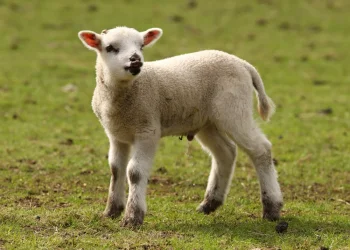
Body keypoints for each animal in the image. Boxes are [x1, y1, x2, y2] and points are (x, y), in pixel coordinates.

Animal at [78, 26, 284, 228]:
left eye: (141, 46)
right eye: (110, 48)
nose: (135, 60)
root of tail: (244, 64)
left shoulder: (148, 131)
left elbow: (134, 172)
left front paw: (132, 217)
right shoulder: (116, 134)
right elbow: (116, 169)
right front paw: (111, 211)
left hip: (234, 109)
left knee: (261, 149)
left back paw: (272, 208)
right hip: (207, 121)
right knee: (225, 153)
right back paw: (209, 203)